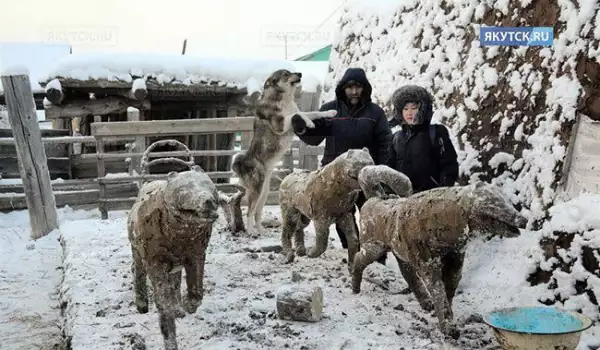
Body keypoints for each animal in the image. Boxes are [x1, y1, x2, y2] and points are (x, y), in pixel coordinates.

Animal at [231, 69, 338, 235]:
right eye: (285, 74)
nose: (300, 73)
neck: (284, 99)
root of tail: (242, 164)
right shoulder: (280, 125)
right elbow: (298, 115)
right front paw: (309, 123)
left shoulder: (296, 112)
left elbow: (312, 112)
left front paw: (330, 112)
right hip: (257, 190)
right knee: (249, 211)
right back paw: (251, 232)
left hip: (264, 192)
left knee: (257, 213)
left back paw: (261, 231)